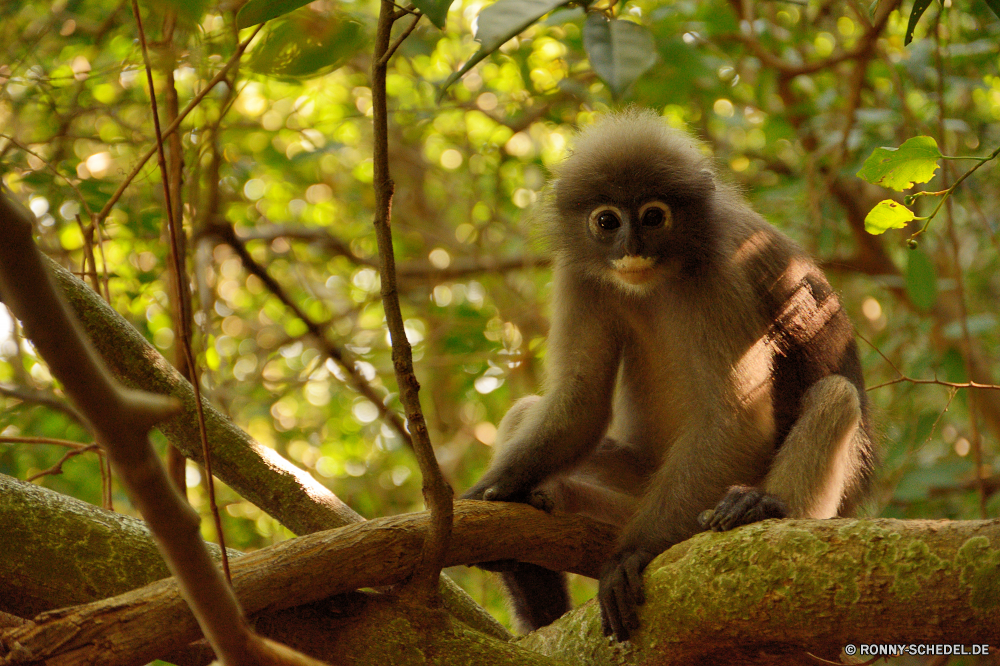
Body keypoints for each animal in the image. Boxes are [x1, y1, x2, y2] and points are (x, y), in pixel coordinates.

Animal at [460, 107, 876, 640]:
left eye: (654, 216)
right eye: (607, 221)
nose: (631, 247)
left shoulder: (721, 270)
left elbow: (735, 417)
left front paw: (631, 556)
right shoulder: (579, 273)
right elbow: (580, 399)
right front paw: (493, 494)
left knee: (835, 394)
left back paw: (760, 508)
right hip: (635, 487)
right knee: (528, 413)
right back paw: (533, 562)